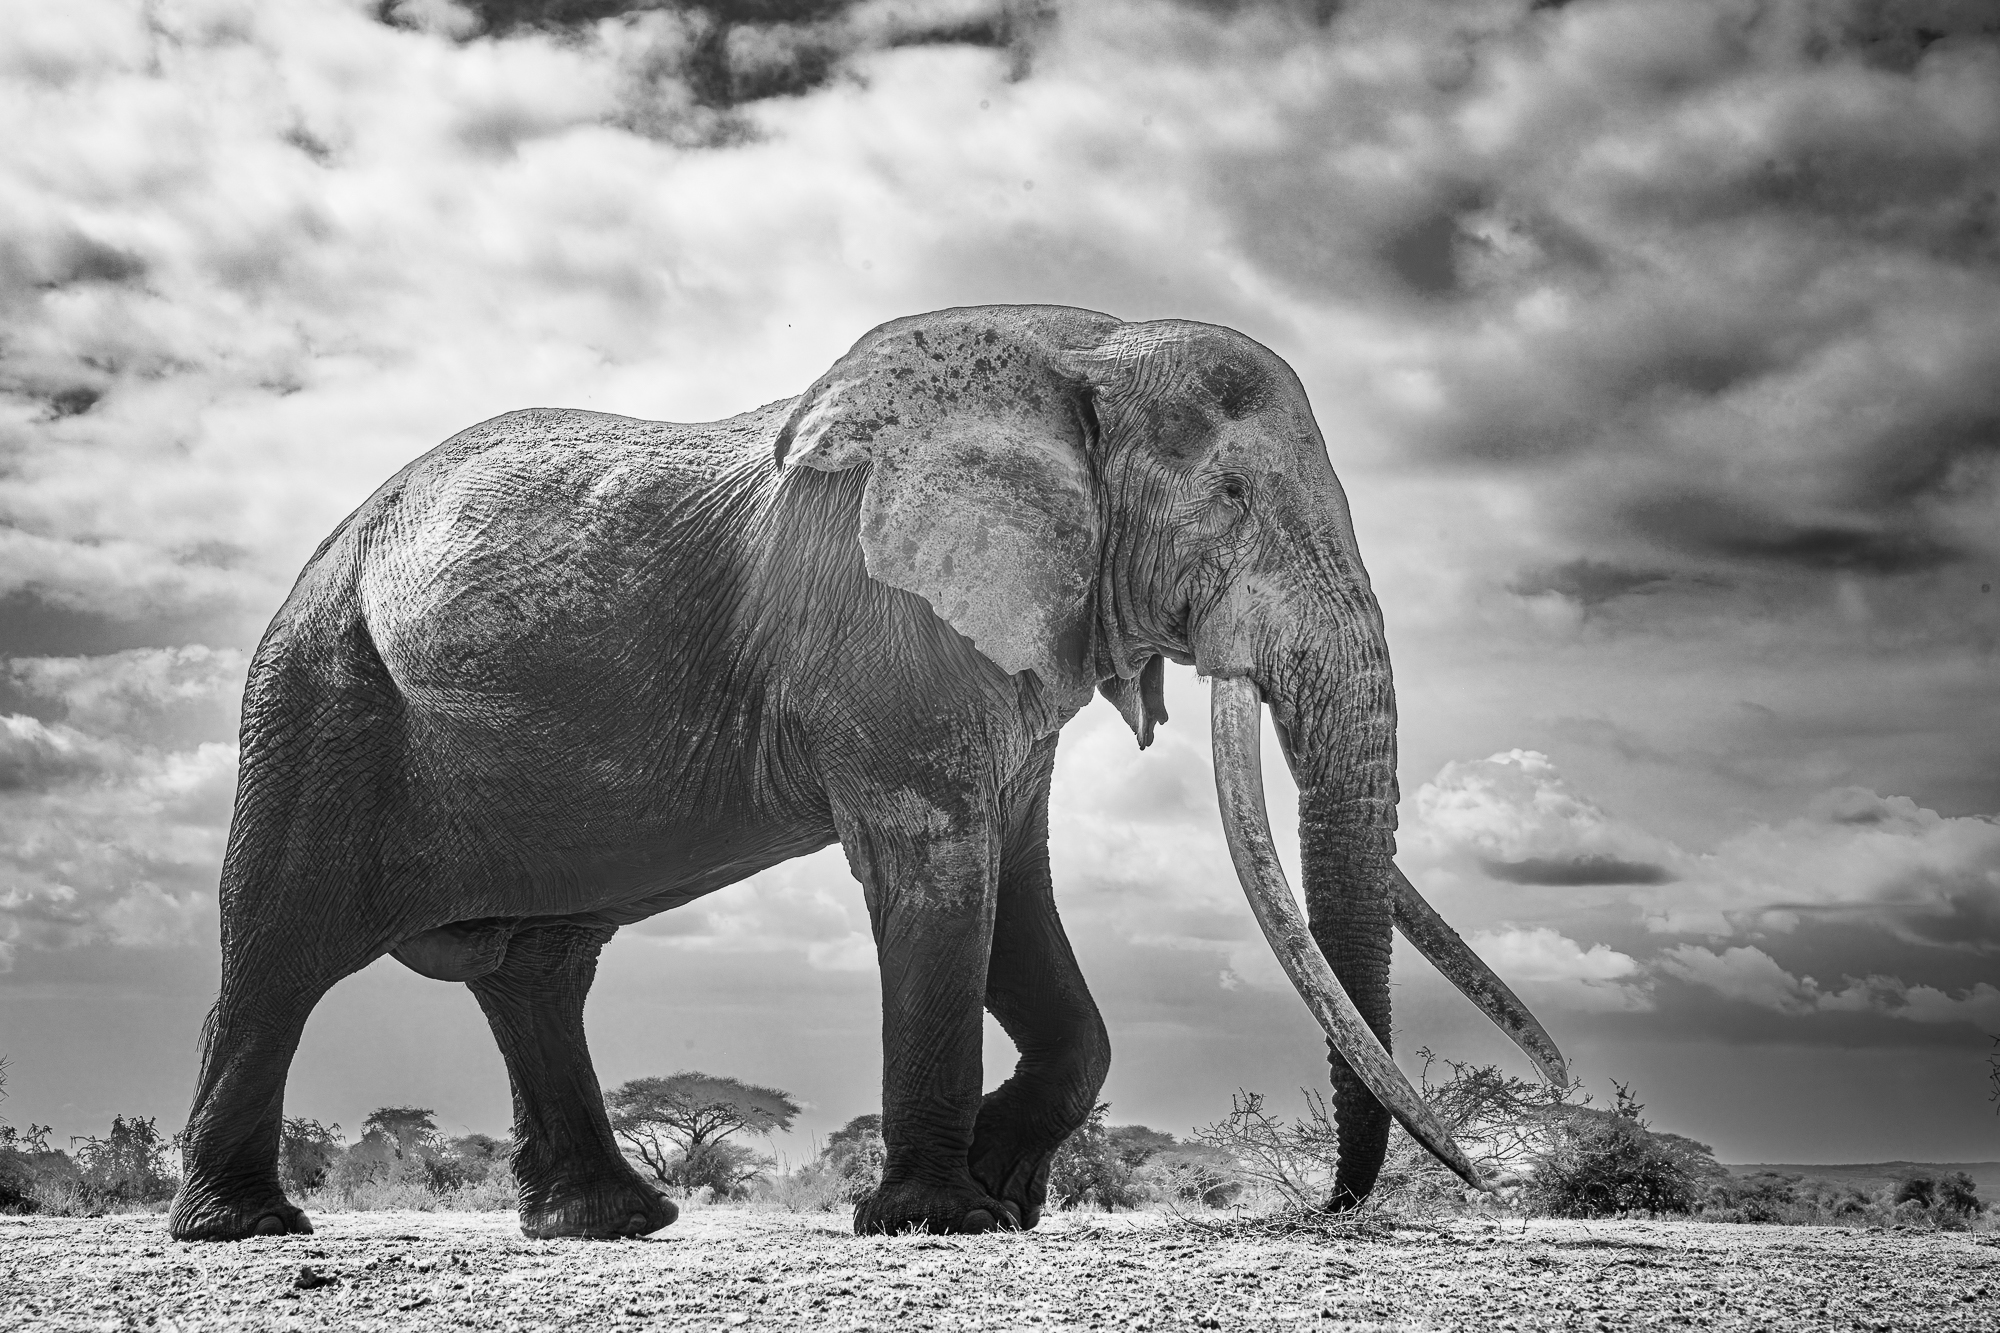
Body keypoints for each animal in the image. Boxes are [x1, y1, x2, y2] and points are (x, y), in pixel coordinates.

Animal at [167, 304, 1565, 1242]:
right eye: (1228, 500)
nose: (1336, 1204)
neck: (1086, 350)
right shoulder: (887, 622)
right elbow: (940, 871)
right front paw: (941, 1217)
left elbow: (1018, 891)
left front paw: (1001, 1195)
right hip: (316, 694)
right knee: (281, 945)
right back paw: (247, 1228)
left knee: (539, 969)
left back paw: (615, 1221)